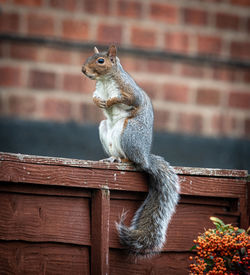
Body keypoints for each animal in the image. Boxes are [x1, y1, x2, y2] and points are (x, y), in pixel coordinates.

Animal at [82, 44, 180, 258]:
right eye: (89, 57)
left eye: (100, 61)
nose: (83, 70)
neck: (105, 81)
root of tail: (146, 158)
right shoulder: (97, 90)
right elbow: (94, 97)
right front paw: (97, 102)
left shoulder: (129, 90)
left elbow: (130, 99)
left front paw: (110, 102)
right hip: (104, 128)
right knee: (117, 152)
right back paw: (111, 159)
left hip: (129, 132)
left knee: (134, 161)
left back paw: (125, 161)